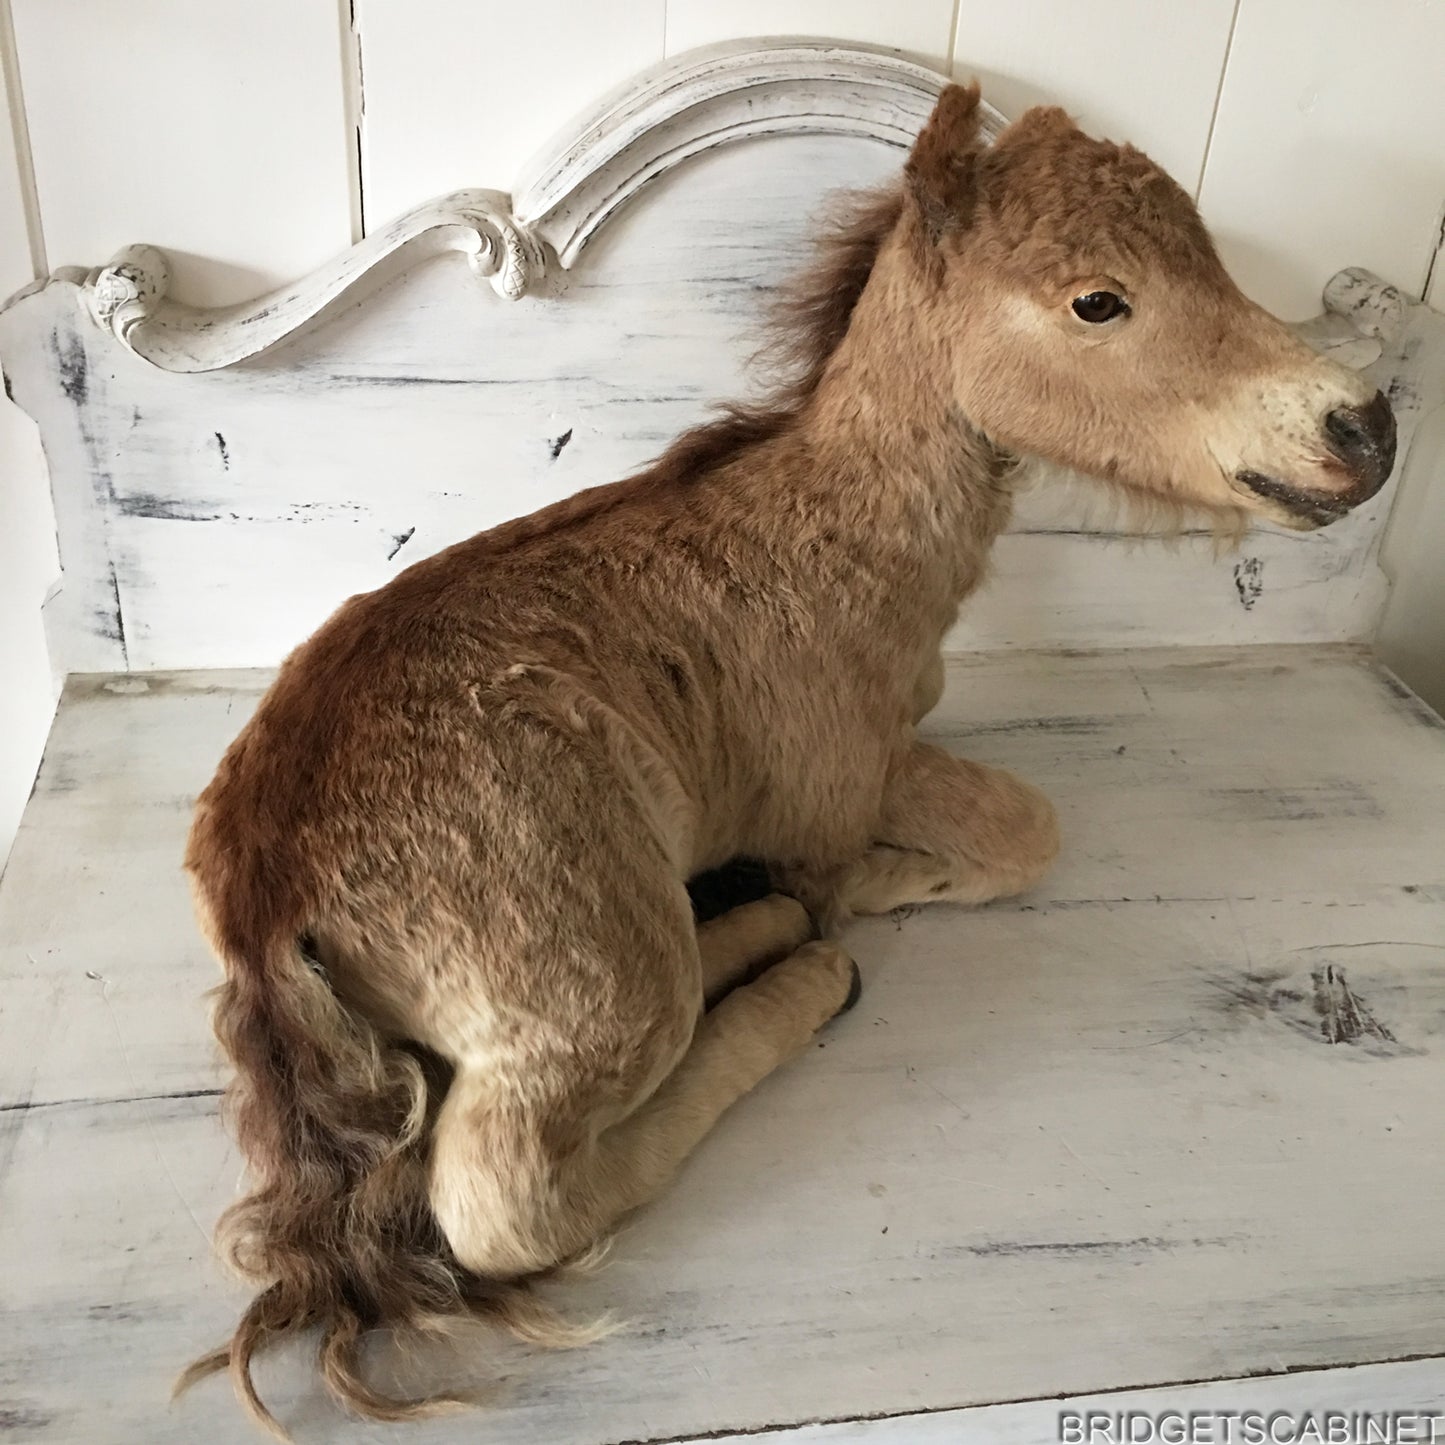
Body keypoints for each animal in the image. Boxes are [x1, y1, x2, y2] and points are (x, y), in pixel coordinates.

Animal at [177, 84, 1396, 1435]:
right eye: (1097, 300)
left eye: (1209, 256)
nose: (1365, 426)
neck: (839, 540)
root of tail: (266, 882)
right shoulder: (839, 775)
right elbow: (1021, 829)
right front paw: (865, 884)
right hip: (602, 981)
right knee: (502, 1202)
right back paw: (801, 971)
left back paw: (756, 921)